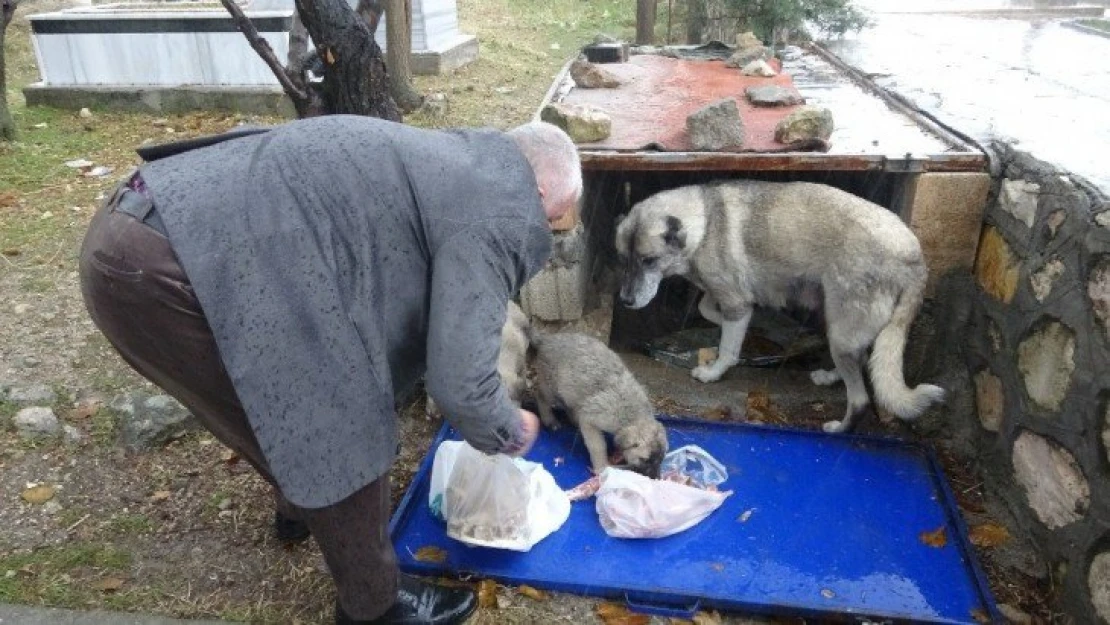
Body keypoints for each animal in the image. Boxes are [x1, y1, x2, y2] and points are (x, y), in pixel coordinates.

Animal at [526, 333, 666, 479]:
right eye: (645, 460)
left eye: (661, 458)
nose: (656, 478)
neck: (634, 415)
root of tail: (548, 338)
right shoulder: (592, 420)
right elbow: (598, 446)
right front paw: (602, 467)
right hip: (551, 386)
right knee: (541, 397)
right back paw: (550, 420)